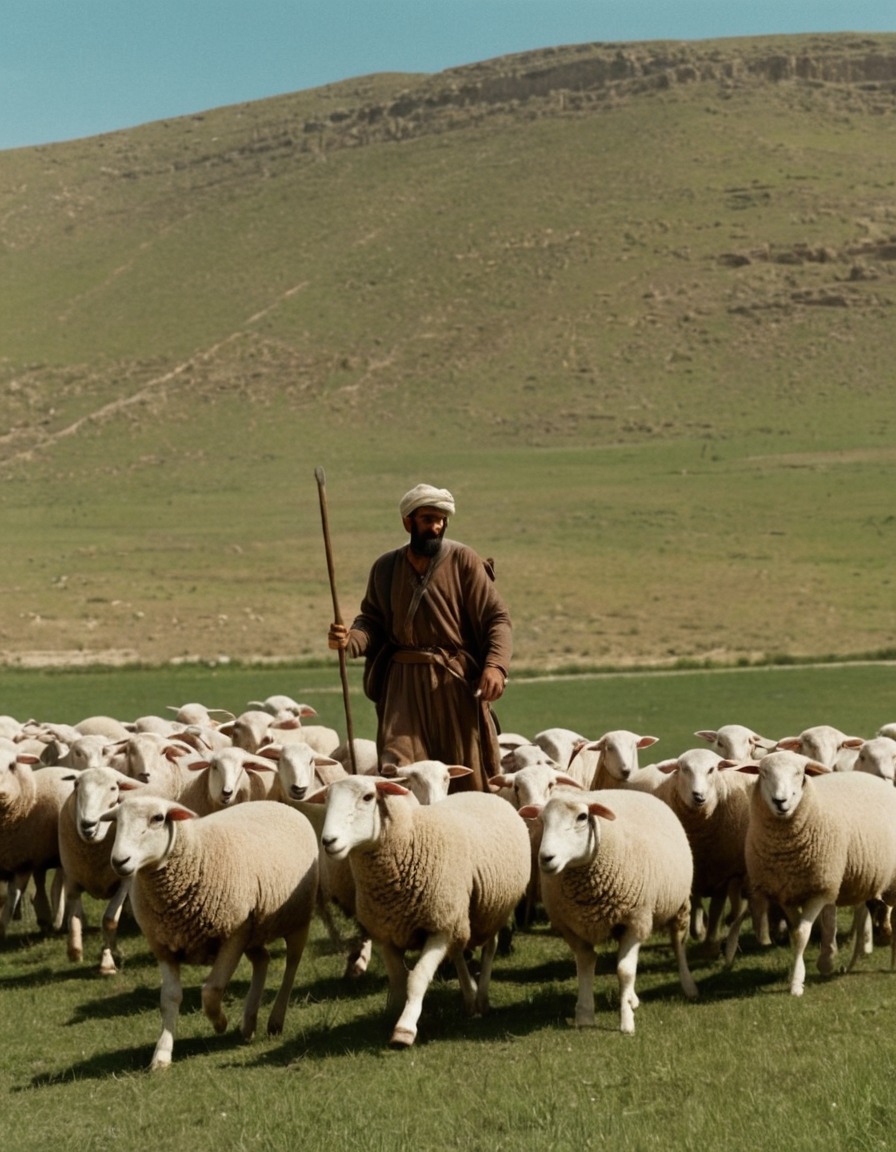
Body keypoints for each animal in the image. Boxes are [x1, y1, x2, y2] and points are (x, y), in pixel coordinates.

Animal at [101, 792, 317, 1069]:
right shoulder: (163, 945)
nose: (119, 861)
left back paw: (275, 1020)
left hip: (296, 918)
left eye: (157, 818)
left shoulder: (234, 933)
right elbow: (170, 998)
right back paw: (249, 1022)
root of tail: (278, 803)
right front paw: (162, 1054)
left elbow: (211, 990)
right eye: (117, 820)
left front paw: (220, 1023)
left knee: (292, 963)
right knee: (263, 960)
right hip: (254, 928)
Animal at [320, 778, 529, 1050]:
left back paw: (481, 997)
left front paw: (405, 1028)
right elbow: (399, 979)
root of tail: (483, 793)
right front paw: (395, 1013)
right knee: (458, 952)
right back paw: (470, 997)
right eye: (327, 799)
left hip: (488, 912)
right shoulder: (388, 933)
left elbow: (417, 978)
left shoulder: (438, 929)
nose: (328, 840)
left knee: (489, 948)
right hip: (457, 913)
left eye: (368, 797)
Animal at [515, 792, 700, 1036]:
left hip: (679, 905)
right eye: (542, 820)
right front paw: (584, 1015)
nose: (546, 858)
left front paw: (626, 1023)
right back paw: (632, 998)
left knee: (678, 943)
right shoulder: (570, 927)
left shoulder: (635, 921)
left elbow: (625, 971)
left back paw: (688, 986)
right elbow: (585, 963)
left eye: (582, 817)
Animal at [737, 751, 896, 995]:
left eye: (799, 773)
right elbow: (797, 932)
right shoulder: (785, 892)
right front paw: (808, 969)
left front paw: (796, 983)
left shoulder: (820, 889)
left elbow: (803, 932)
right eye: (763, 773)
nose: (780, 801)